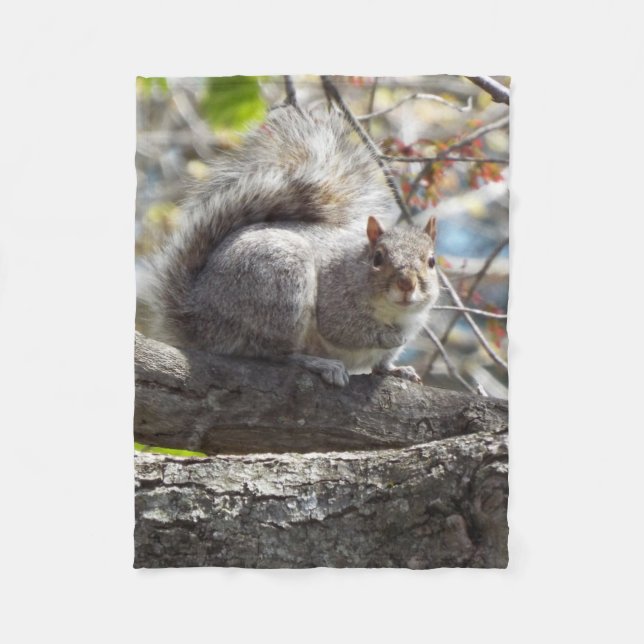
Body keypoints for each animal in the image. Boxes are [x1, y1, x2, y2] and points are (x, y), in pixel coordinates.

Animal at [140, 106, 440, 387]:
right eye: (378, 258)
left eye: (431, 261)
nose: (406, 283)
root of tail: (197, 319)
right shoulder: (336, 301)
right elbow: (345, 328)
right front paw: (389, 335)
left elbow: (382, 364)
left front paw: (397, 369)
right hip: (281, 284)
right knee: (275, 353)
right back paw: (317, 363)